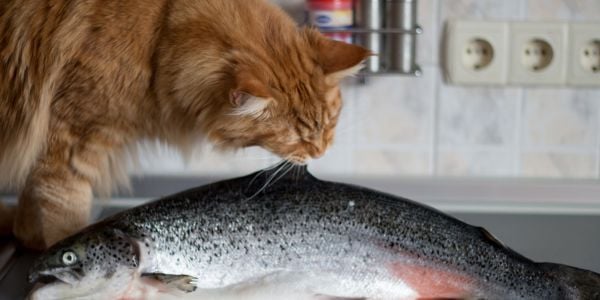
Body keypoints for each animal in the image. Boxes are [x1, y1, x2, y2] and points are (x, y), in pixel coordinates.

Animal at [0, 0, 368, 248]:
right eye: (294, 138)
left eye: (331, 121)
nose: (320, 152)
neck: (158, 38)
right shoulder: (67, 149)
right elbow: (60, 216)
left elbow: (33, 208)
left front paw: (26, 237)